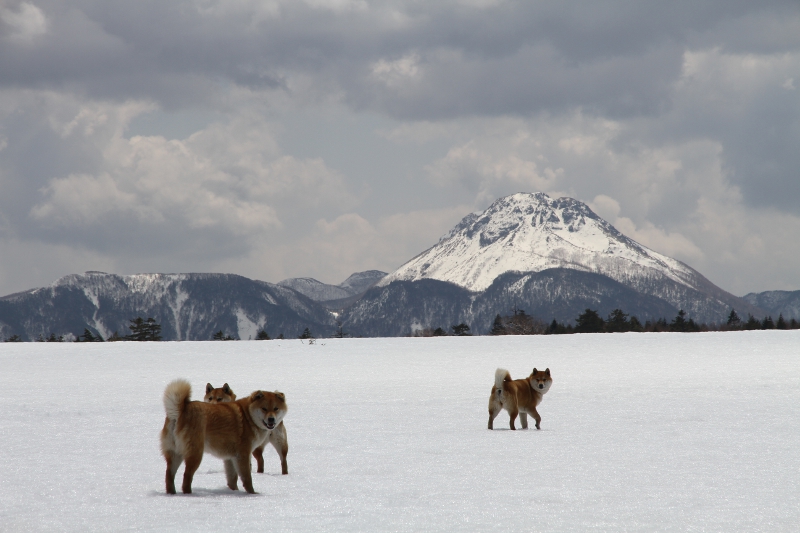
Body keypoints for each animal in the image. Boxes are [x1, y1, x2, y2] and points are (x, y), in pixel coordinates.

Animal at [159, 378, 288, 494]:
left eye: (276, 408)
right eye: (264, 408)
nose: (271, 419)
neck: (248, 416)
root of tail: (179, 411)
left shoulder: (230, 457)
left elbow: (232, 479)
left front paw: (234, 492)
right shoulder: (243, 454)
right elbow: (247, 478)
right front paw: (252, 493)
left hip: (175, 454)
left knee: (169, 476)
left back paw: (171, 493)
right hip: (195, 454)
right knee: (187, 477)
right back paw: (189, 494)